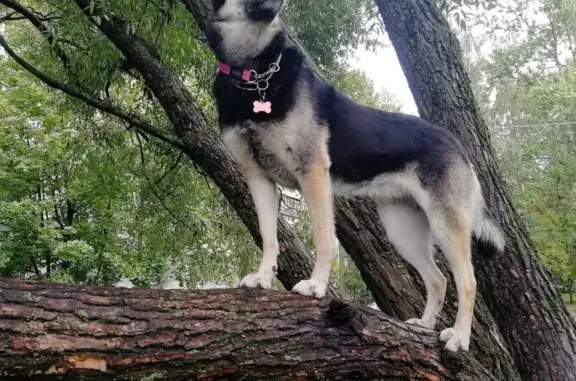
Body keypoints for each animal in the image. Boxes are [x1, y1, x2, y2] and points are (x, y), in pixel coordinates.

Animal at [206, 0, 504, 352]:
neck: (255, 74)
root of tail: (457, 143)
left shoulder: (313, 174)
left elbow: (323, 239)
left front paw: (317, 285)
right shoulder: (258, 179)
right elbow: (268, 237)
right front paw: (263, 278)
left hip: (447, 225)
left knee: (467, 281)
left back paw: (459, 337)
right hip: (402, 231)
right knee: (439, 280)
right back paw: (425, 325)